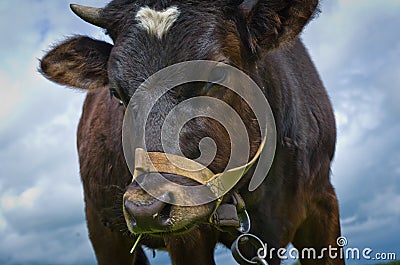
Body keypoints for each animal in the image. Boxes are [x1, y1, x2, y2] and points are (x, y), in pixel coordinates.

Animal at [39, 0, 344, 264]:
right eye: (116, 92)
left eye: (218, 74)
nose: (145, 209)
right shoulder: (187, 239)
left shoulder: (322, 201)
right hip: (102, 229)